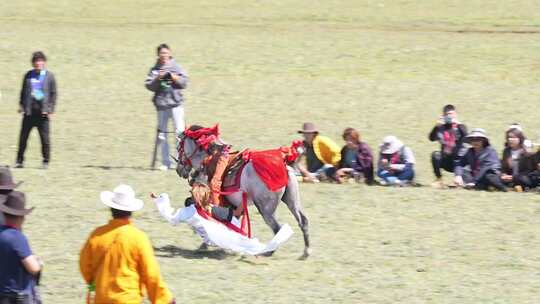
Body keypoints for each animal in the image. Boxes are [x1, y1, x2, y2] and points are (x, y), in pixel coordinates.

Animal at [176, 127, 310, 258]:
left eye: (178, 148)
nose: (178, 170)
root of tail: (284, 165)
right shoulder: (234, 207)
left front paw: (205, 244)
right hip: (292, 201)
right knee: (303, 221)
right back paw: (306, 251)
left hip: (266, 209)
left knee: (277, 228)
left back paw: (268, 252)